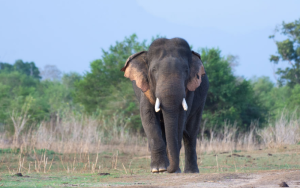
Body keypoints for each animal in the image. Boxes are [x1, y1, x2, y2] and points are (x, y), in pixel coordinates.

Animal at [120, 37, 209, 173]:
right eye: (153, 70)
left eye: (186, 70)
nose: (168, 169)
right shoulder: (145, 88)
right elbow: (148, 116)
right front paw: (158, 169)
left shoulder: (189, 90)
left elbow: (180, 119)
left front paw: (170, 169)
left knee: (191, 135)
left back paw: (191, 171)